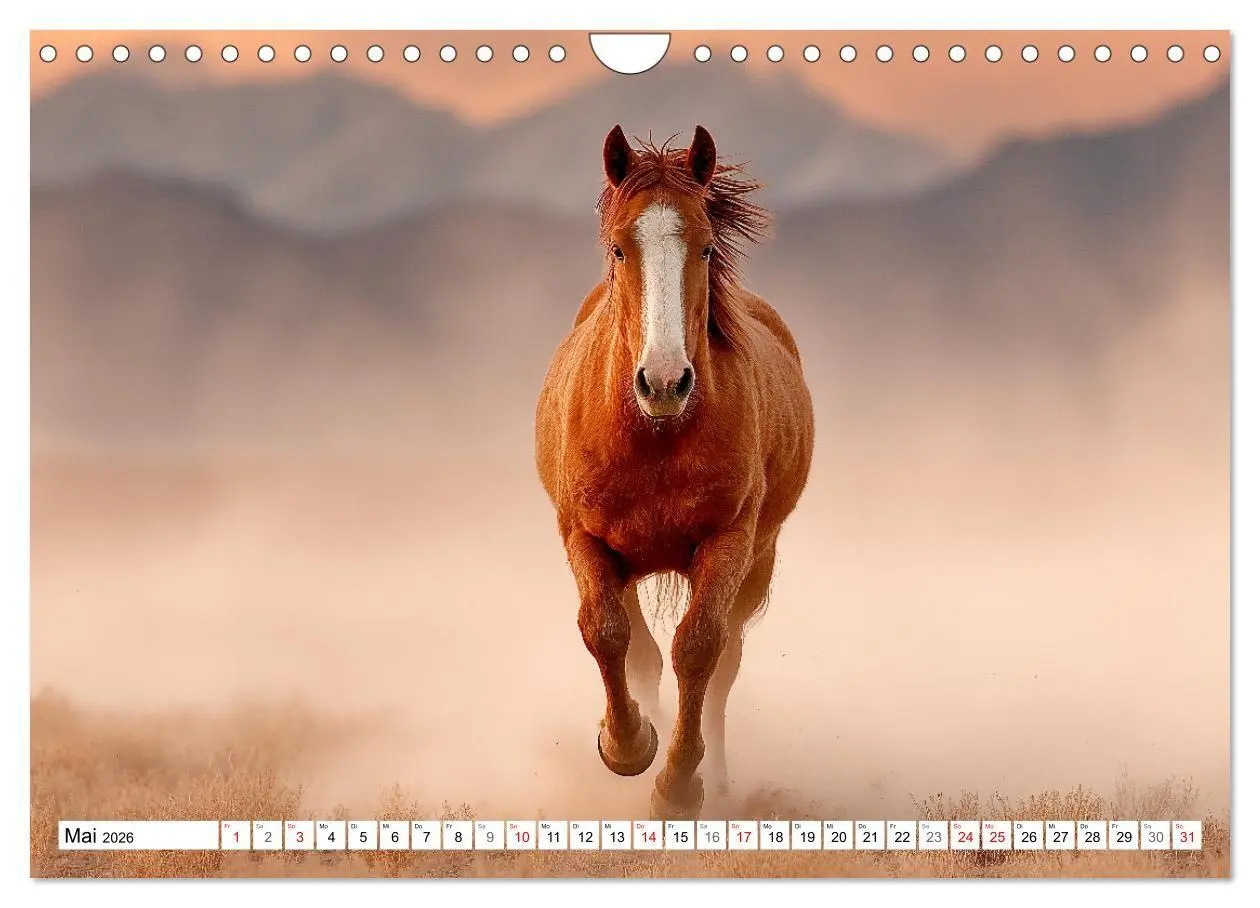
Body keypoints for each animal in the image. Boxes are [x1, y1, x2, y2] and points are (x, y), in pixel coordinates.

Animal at [534, 124, 814, 819]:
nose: (664, 381)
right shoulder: (585, 537)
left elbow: (699, 650)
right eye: (619, 248)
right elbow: (609, 636)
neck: (655, 435)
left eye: (706, 247)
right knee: (640, 652)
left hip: (757, 560)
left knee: (723, 664)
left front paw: (679, 785)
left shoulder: (729, 542)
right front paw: (627, 745)